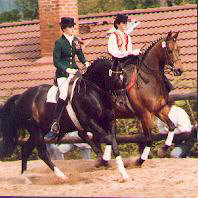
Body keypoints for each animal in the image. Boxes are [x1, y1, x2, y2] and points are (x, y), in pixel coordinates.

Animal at [0, 57, 130, 183]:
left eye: (124, 78)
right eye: (116, 78)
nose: (122, 102)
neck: (93, 92)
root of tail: (20, 97)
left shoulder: (109, 121)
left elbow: (113, 142)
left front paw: (120, 171)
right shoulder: (89, 123)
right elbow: (107, 139)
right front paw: (106, 161)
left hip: (39, 131)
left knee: (25, 149)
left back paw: (26, 179)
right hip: (36, 131)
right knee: (42, 153)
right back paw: (63, 177)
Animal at [102, 30, 184, 165]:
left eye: (179, 49)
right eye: (169, 50)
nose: (179, 69)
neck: (149, 79)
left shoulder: (159, 110)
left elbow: (172, 126)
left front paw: (162, 150)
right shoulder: (145, 114)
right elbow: (149, 138)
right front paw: (140, 160)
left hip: (111, 117)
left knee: (108, 137)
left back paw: (104, 160)